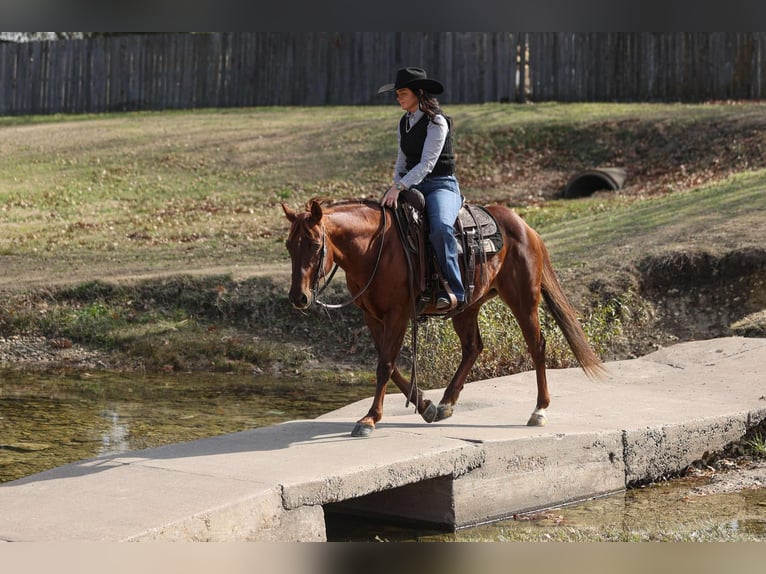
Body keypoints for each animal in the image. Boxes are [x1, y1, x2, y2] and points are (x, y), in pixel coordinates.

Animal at [282, 198, 608, 436]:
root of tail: (525, 226)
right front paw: (425, 405)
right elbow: (390, 365)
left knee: (537, 346)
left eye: (315, 244)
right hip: (468, 306)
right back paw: (445, 404)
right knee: (473, 347)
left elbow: (385, 365)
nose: (299, 297)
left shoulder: (398, 314)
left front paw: (370, 419)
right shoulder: (372, 316)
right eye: (288, 246)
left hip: (523, 300)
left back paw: (539, 410)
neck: (374, 248)